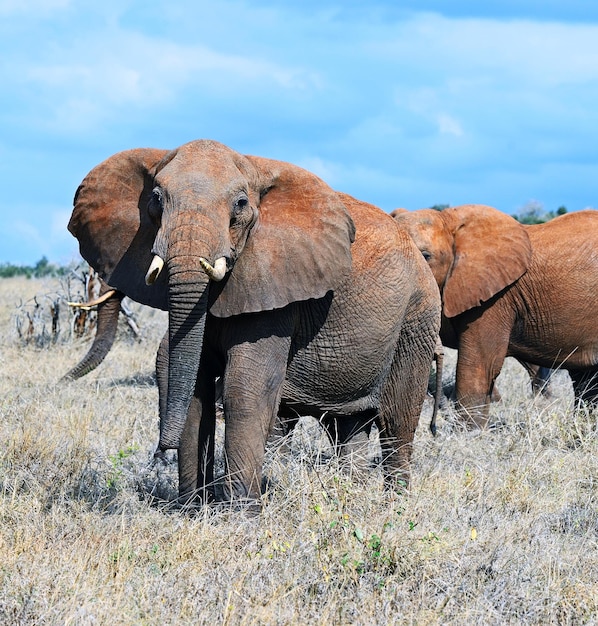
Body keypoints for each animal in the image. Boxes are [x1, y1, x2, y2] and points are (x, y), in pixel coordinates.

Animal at [68, 138, 442, 508]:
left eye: (240, 204)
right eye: (156, 199)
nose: (160, 453)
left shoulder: (277, 285)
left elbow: (245, 387)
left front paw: (240, 513)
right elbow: (191, 381)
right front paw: (192, 509)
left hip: (417, 317)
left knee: (397, 421)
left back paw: (395, 504)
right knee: (349, 426)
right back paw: (350, 496)